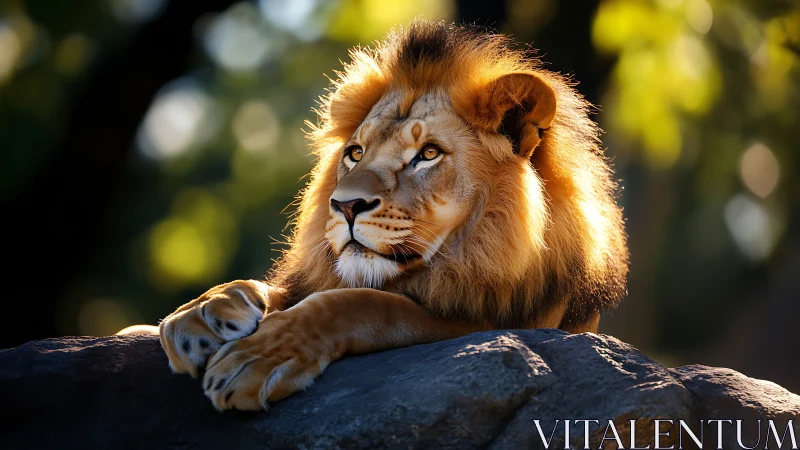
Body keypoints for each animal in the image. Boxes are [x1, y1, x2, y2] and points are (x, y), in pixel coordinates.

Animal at [127, 19, 628, 411]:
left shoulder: (494, 324)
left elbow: (365, 303)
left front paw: (259, 357)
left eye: (428, 154)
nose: (345, 205)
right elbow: (296, 289)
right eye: (355, 153)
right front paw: (202, 311)